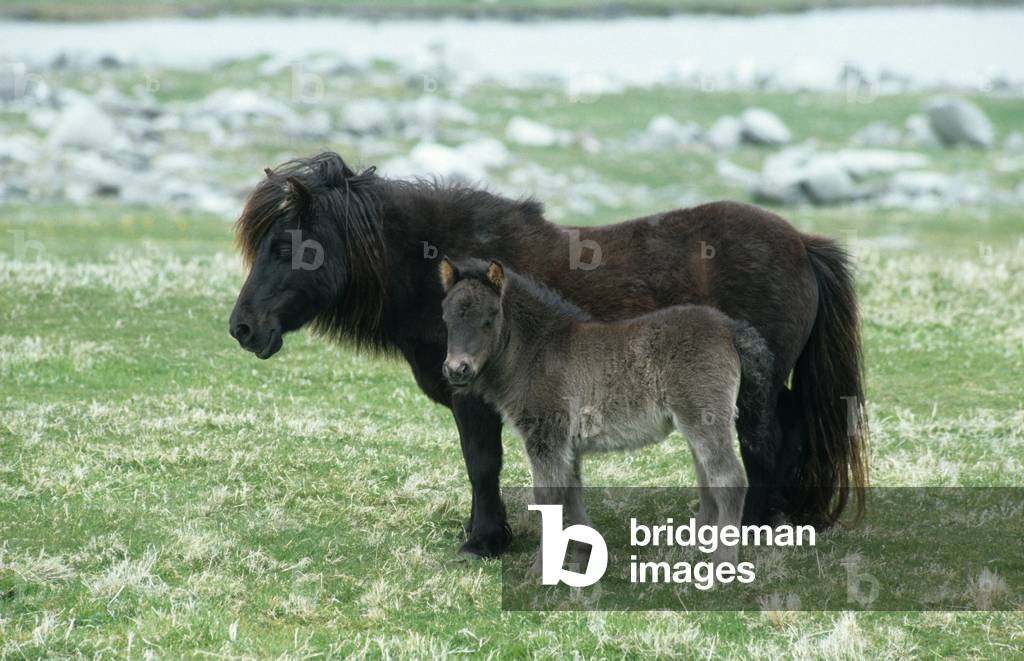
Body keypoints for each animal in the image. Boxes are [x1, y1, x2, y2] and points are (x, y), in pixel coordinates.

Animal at [439, 257, 774, 570]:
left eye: (489, 319)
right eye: (446, 318)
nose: (457, 370)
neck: (537, 352)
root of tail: (729, 327)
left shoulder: (546, 437)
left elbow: (548, 499)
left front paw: (540, 571)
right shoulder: (567, 444)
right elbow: (571, 494)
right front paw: (584, 553)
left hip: (705, 418)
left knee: (729, 480)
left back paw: (723, 565)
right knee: (707, 481)